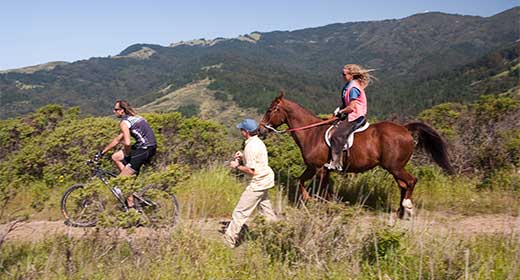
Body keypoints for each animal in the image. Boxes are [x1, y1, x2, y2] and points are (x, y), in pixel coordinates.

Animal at [258, 92, 452, 219]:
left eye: (270, 109)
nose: (260, 130)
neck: (312, 133)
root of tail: (405, 129)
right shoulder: (319, 169)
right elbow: (310, 185)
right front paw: (325, 205)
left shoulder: (318, 168)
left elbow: (315, 188)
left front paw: (313, 202)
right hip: (395, 168)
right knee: (403, 185)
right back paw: (400, 212)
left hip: (395, 166)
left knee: (411, 181)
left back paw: (407, 207)